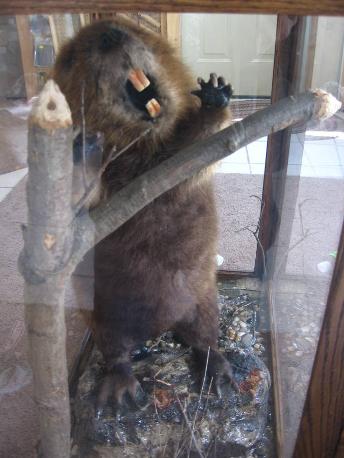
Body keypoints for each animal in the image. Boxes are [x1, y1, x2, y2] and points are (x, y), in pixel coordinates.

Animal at [53, 17, 235, 414]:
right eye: (72, 56)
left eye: (124, 24)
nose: (110, 36)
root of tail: (158, 330)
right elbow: (74, 201)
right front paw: (81, 145)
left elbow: (198, 153)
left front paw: (215, 95)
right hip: (103, 317)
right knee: (115, 353)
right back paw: (121, 393)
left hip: (205, 298)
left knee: (205, 337)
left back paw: (219, 374)